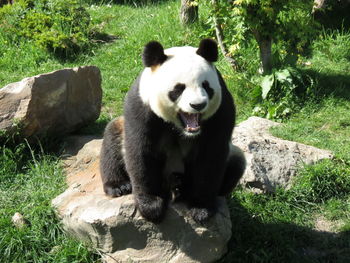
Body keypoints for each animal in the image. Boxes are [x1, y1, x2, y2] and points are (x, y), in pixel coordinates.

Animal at [100, 38, 245, 225]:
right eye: (179, 88)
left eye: (206, 86)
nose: (198, 105)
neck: (180, 127)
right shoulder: (141, 105)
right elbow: (141, 151)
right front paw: (151, 206)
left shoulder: (221, 109)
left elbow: (211, 155)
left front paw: (201, 208)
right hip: (120, 131)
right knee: (113, 140)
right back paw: (119, 186)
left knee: (237, 161)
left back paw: (181, 187)